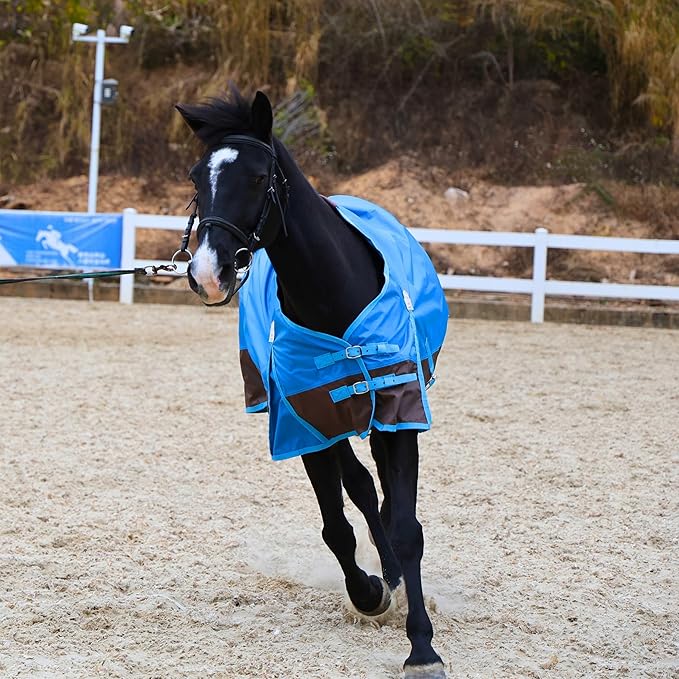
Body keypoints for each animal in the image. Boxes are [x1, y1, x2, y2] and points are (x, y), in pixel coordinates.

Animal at [176, 86, 448, 679]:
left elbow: (407, 527)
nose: (208, 273)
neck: (334, 296)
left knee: (383, 496)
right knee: (361, 488)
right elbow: (337, 526)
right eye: (196, 176)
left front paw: (422, 648)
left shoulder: (400, 414)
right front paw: (371, 592)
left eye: (258, 177)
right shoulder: (306, 423)